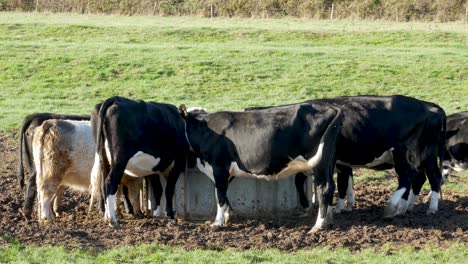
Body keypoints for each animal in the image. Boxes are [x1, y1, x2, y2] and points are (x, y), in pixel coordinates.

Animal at [88, 96, 189, 228]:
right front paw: (170, 216)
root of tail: (115, 99)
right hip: (119, 160)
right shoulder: (176, 164)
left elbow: (158, 189)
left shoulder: (154, 169)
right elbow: (168, 190)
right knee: (110, 183)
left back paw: (106, 217)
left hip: (104, 160)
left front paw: (158, 215)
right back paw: (112, 220)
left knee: (103, 185)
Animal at [180, 102, 344, 232]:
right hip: (329, 161)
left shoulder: (219, 168)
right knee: (331, 186)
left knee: (324, 188)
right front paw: (228, 216)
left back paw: (318, 225)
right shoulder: (227, 172)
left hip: (320, 163)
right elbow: (224, 195)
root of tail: (330, 108)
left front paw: (217, 222)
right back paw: (329, 219)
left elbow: (219, 195)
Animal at [290, 96, 448, 218]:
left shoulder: (333, 161)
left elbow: (340, 183)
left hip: (413, 154)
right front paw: (347, 205)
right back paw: (406, 207)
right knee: (419, 178)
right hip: (420, 157)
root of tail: (427, 106)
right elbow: (347, 182)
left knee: (422, 177)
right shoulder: (343, 162)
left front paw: (337, 208)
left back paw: (422, 208)